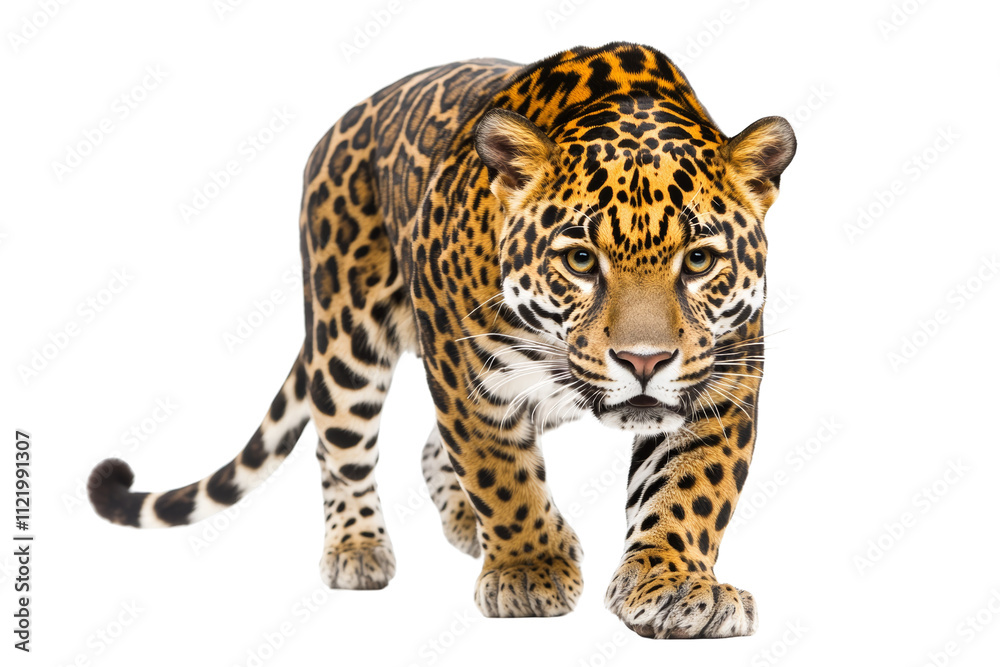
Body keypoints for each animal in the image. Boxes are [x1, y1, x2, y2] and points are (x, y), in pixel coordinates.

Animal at [89, 42, 795, 639]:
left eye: (699, 261)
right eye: (580, 260)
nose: (643, 361)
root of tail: (341, 124)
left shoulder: (725, 378)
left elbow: (693, 487)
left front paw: (676, 584)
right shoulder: (465, 371)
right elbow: (499, 472)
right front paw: (528, 569)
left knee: (433, 448)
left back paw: (463, 523)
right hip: (346, 336)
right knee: (340, 445)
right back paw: (358, 548)